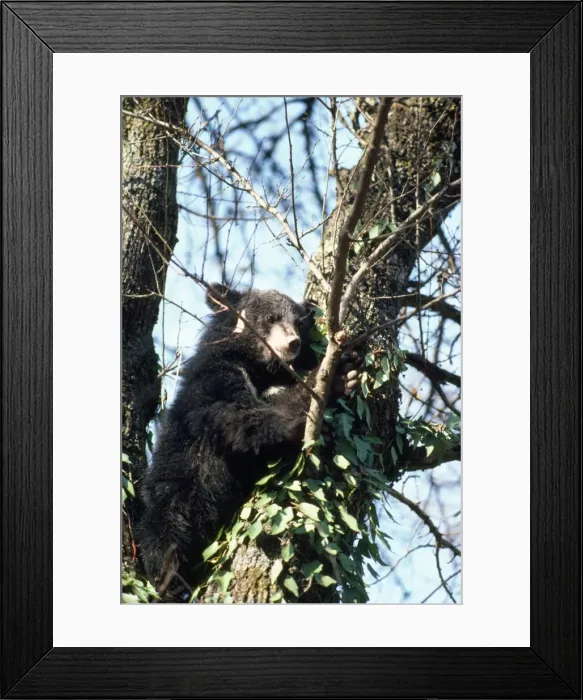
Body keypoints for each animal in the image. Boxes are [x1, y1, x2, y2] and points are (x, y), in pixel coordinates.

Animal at [137, 283, 359, 596]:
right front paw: (325, 380)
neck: (261, 367)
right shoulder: (214, 376)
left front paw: (346, 372)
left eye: (299, 324)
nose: (292, 343)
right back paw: (169, 579)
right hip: (174, 495)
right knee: (165, 536)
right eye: (270, 318)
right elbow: (240, 419)